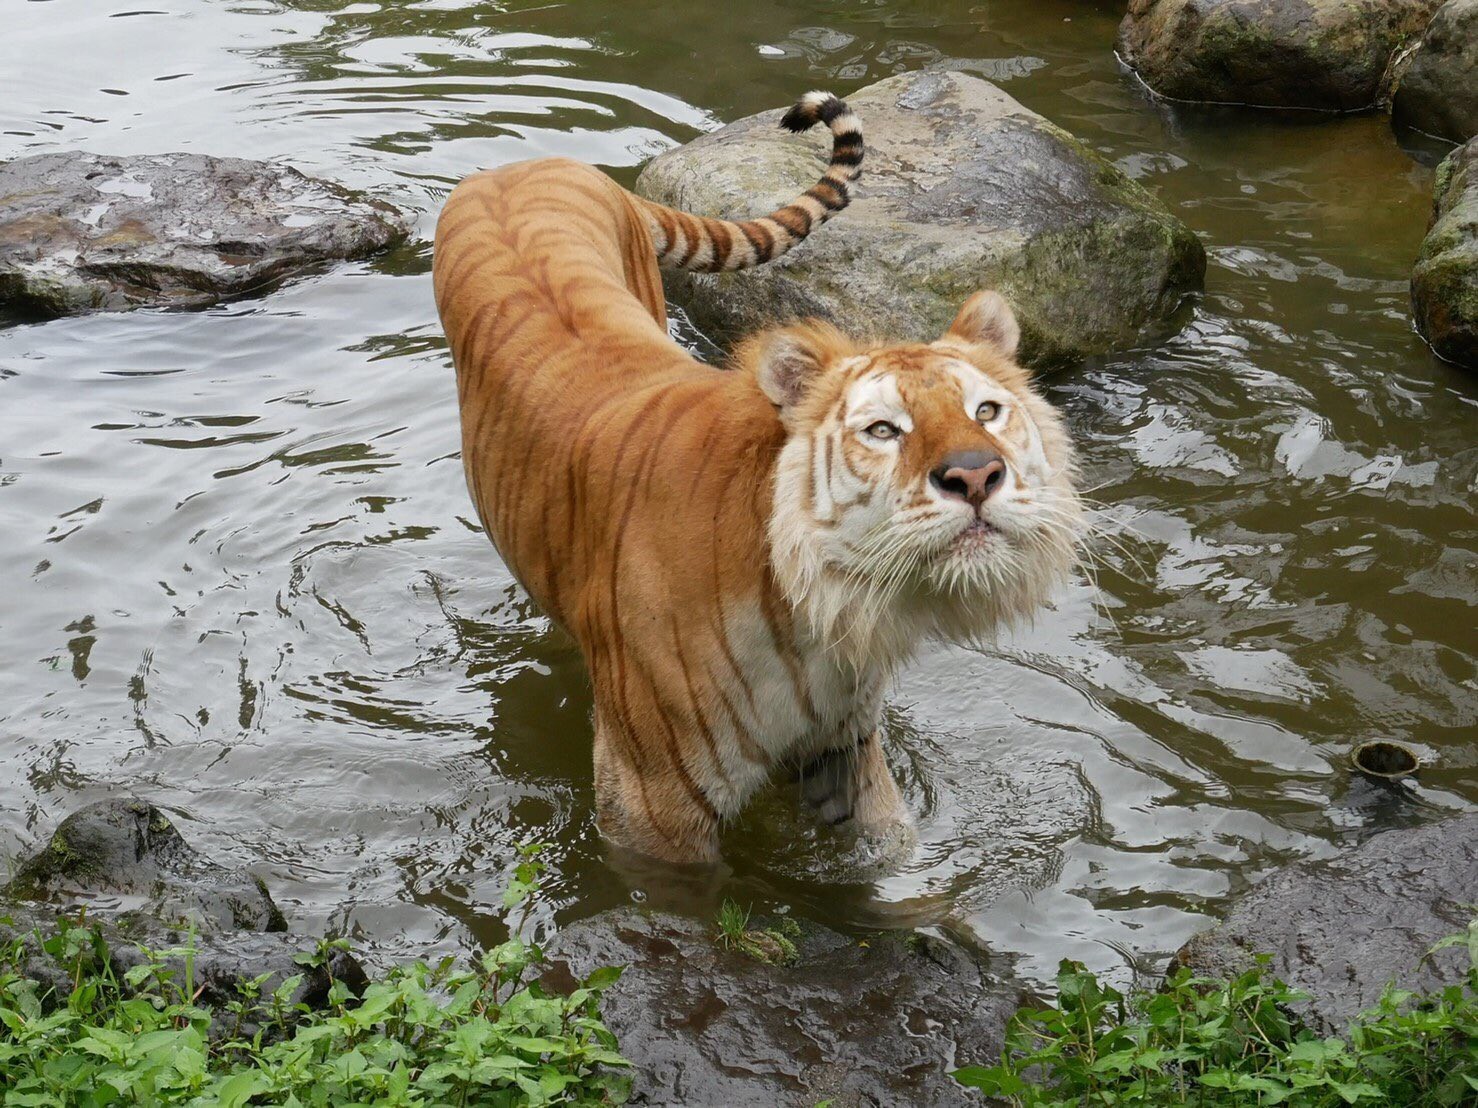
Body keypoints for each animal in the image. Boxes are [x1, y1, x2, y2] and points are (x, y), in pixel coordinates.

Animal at [431, 89, 1081, 868]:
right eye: (883, 430)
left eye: (985, 411)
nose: (978, 475)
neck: (818, 615)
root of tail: (527, 164)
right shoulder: (652, 806)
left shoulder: (844, 743)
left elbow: (893, 860)